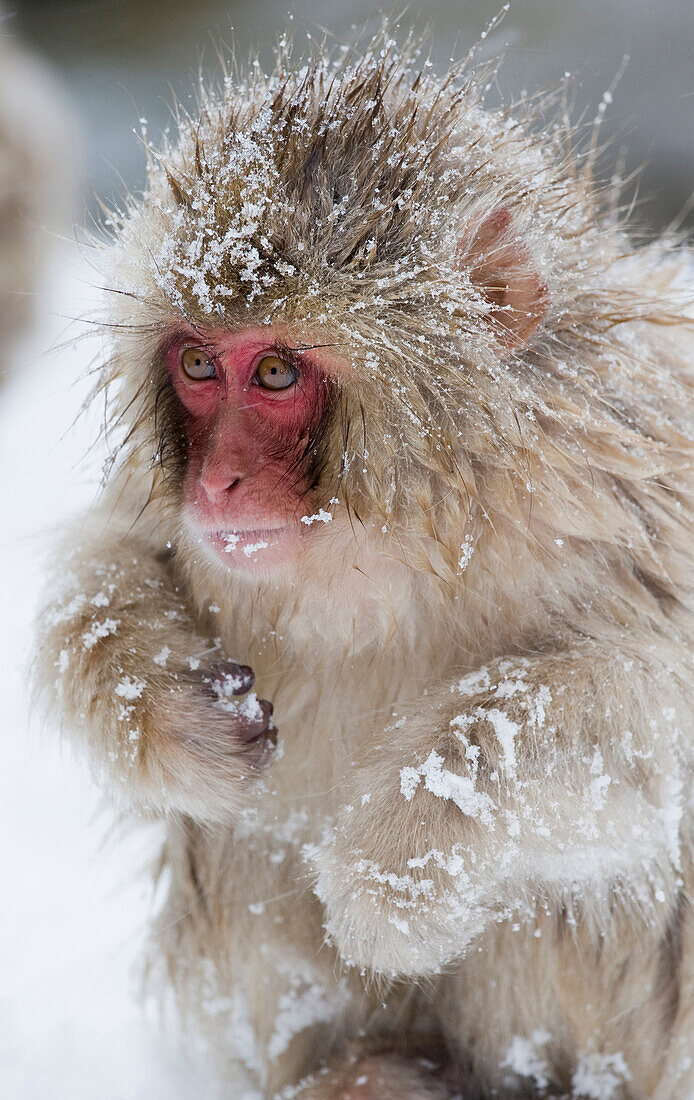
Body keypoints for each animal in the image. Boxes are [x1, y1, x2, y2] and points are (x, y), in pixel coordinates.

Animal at [35, 32, 694, 1100]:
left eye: (275, 372)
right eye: (198, 366)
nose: (217, 483)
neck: (387, 537)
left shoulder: (634, 488)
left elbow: (647, 723)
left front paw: (398, 868)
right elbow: (103, 567)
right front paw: (173, 713)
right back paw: (370, 1065)